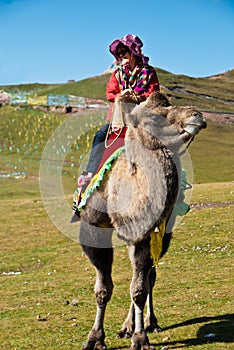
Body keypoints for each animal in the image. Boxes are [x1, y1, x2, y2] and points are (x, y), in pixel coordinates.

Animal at [77, 93, 207, 350]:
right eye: (154, 119)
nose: (197, 115)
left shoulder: (149, 235)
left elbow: (139, 288)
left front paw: (140, 338)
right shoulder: (93, 232)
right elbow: (103, 289)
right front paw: (95, 338)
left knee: (148, 279)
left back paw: (145, 323)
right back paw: (127, 327)